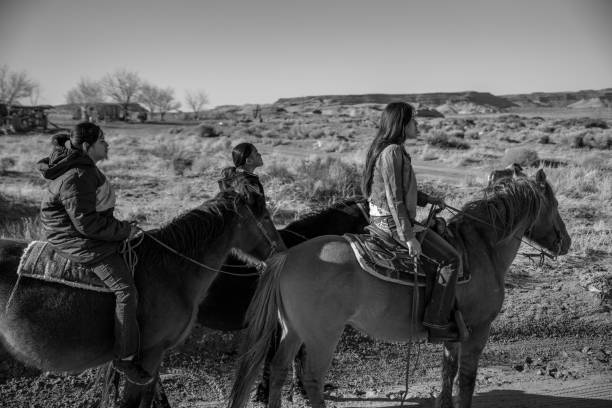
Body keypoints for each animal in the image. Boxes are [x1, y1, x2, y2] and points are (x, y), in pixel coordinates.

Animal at [0, 175, 282, 408]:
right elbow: (133, 403)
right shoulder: (148, 354)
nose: (281, 249)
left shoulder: (156, 359)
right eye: (266, 217)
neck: (172, 270)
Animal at [227, 170, 572, 408]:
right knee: (311, 378)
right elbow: (467, 380)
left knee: (278, 369)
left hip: (293, 329)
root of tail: (286, 256)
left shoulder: (454, 332)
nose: (566, 242)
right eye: (554, 204)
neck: (483, 249)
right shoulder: (478, 329)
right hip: (322, 335)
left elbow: (448, 372)